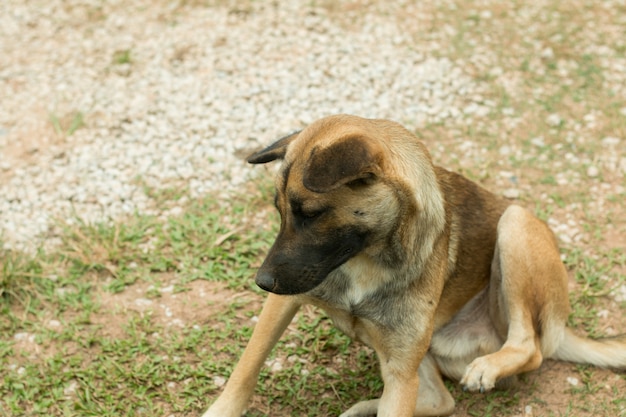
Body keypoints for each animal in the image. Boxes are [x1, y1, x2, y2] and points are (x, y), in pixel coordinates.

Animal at [202, 114, 620, 416]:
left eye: (312, 213)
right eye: (280, 211)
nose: (262, 281)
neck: (366, 259)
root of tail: (561, 329)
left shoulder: (400, 371)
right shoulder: (286, 298)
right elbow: (246, 367)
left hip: (514, 224)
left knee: (528, 347)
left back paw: (489, 366)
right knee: (440, 401)